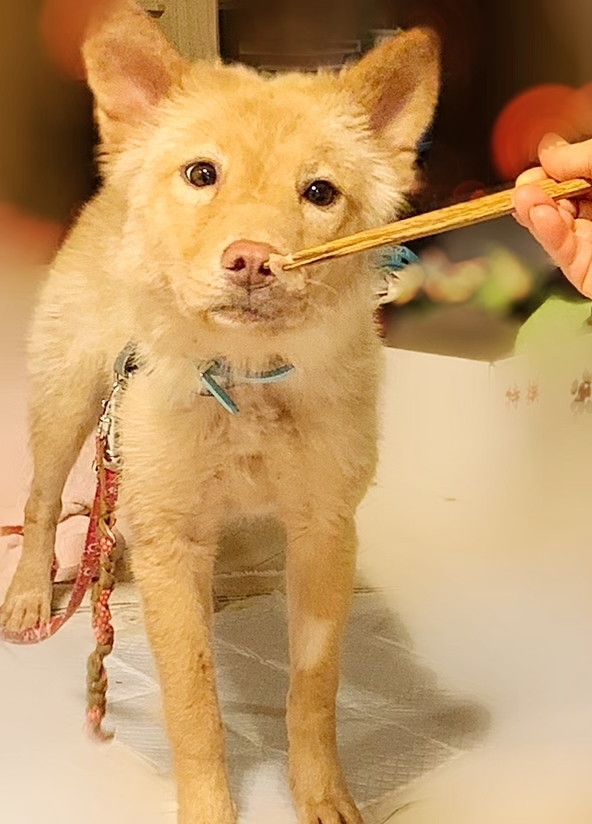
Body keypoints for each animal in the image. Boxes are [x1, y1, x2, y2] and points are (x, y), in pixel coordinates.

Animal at [1, 3, 440, 820]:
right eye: (202, 174)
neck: (245, 383)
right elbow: (193, 703)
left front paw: (322, 793)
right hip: (67, 399)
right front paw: (209, 805)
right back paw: (27, 592)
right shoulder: (173, 547)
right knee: (42, 503)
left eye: (320, 192)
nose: (252, 260)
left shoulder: (323, 534)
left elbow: (315, 688)